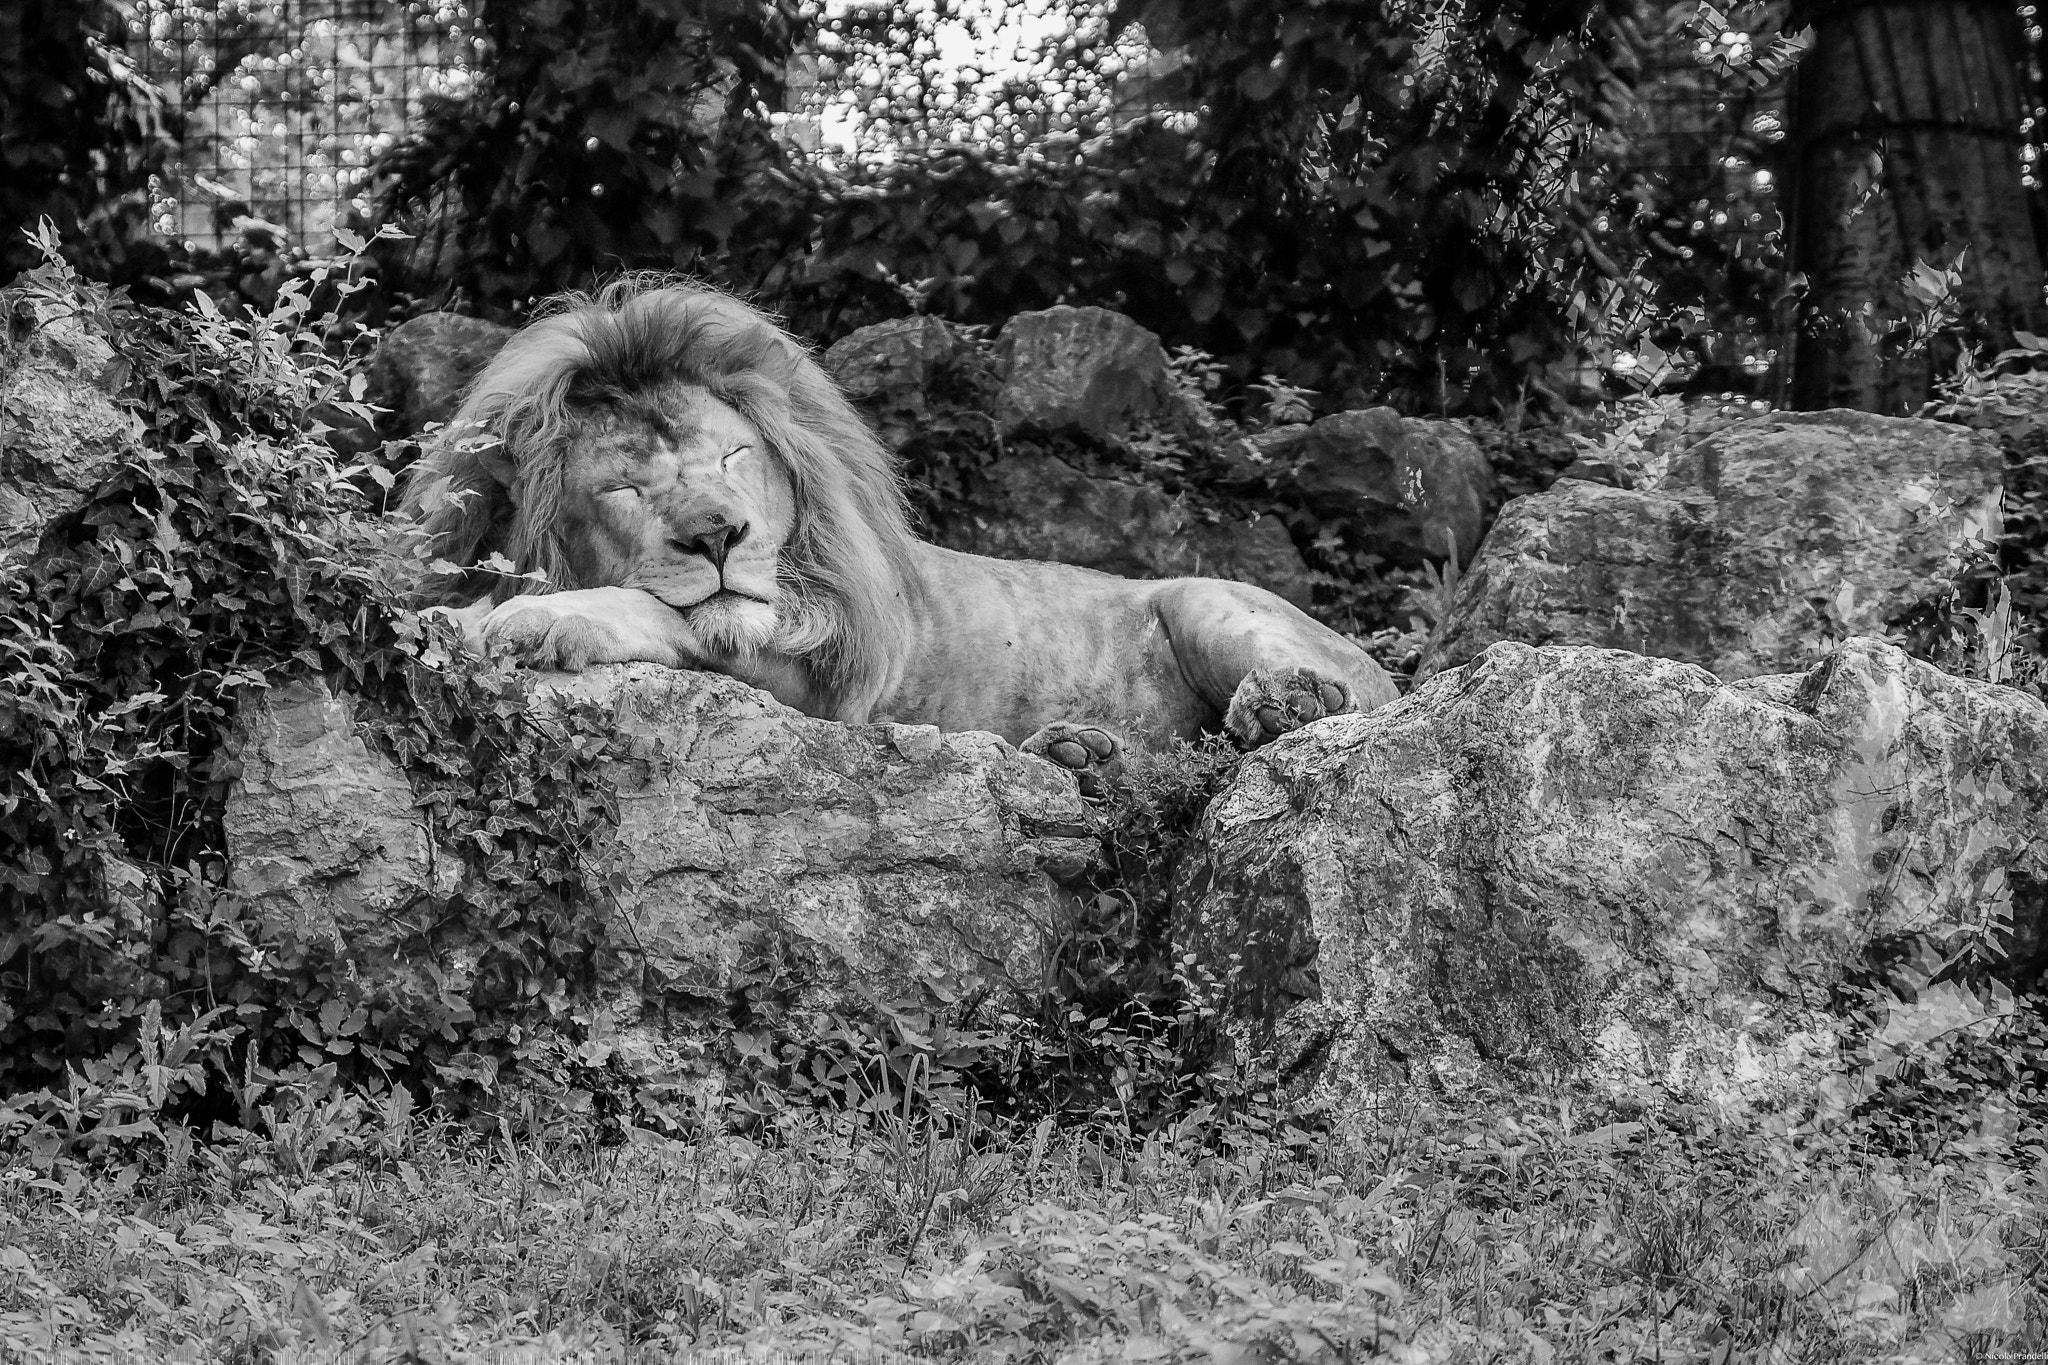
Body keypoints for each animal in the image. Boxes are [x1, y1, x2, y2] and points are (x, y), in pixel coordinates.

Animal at [403, 280, 1397, 792]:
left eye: (732, 455)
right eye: (622, 487)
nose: (721, 535)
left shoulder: (833, 674)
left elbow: (674, 615)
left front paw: (528, 617)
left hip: (1205, 598)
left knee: (1334, 709)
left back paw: (1289, 705)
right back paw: (1083, 756)